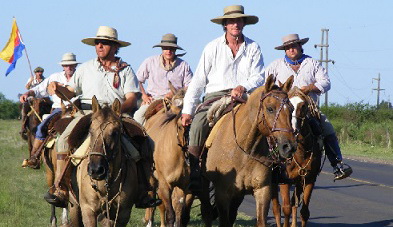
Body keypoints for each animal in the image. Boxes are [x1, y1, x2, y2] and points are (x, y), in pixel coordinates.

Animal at [66, 96, 140, 226]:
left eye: (115, 132)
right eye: (91, 131)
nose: (96, 170)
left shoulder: (122, 214)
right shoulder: (88, 210)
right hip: (74, 207)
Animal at [142, 83, 194, 227]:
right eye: (175, 105)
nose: (184, 121)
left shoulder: (184, 187)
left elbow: (179, 213)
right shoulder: (164, 184)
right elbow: (169, 213)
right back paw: (149, 221)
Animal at [199, 75, 298, 226]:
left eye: (291, 109)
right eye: (270, 108)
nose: (289, 146)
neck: (245, 150)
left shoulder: (262, 190)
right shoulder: (222, 193)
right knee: (207, 213)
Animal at [270, 87, 322, 227]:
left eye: (303, 106)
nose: (293, 130)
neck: (300, 152)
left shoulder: (309, 179)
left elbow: (304, 212)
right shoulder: (284, 180)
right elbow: (286, 208)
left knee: (294, 203)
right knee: (276, 207)